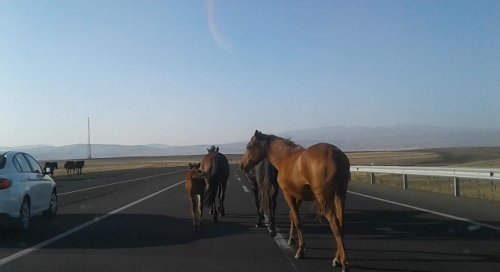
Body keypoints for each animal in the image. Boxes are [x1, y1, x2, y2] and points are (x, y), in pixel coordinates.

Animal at [240, 131, 350, 270]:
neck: (285, 158)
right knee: (341, 223)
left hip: (324, 199)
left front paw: (300, 250)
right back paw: (337, 258)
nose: (242, 165)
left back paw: (344, 262)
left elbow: (297, 220)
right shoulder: (298, 196)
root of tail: (336, 153)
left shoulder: (288, 194)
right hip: (340, 195)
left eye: (248, 147)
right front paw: (292, 239)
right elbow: (292, 215)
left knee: (334, 223)